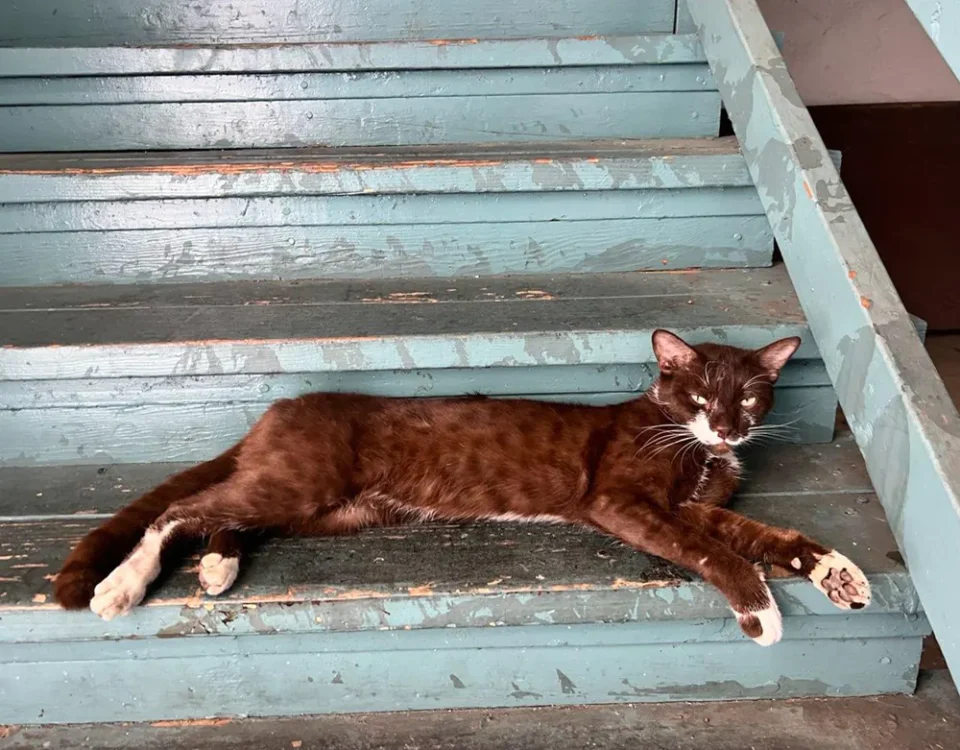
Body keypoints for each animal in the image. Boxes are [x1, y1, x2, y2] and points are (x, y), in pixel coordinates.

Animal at [54, 328, 876, 648]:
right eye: (700, 396)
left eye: (752, 399)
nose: (729, 430)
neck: (699, 457)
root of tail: (279, 408)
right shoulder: (627, 504)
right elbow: (715, 554)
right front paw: (761, 613)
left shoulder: (704, 506)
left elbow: (767, 537)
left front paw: (839, 572)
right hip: (302, 482)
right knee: (180, 509)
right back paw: (123, 585)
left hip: (333, 508)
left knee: (232, 518)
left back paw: (219, 566)